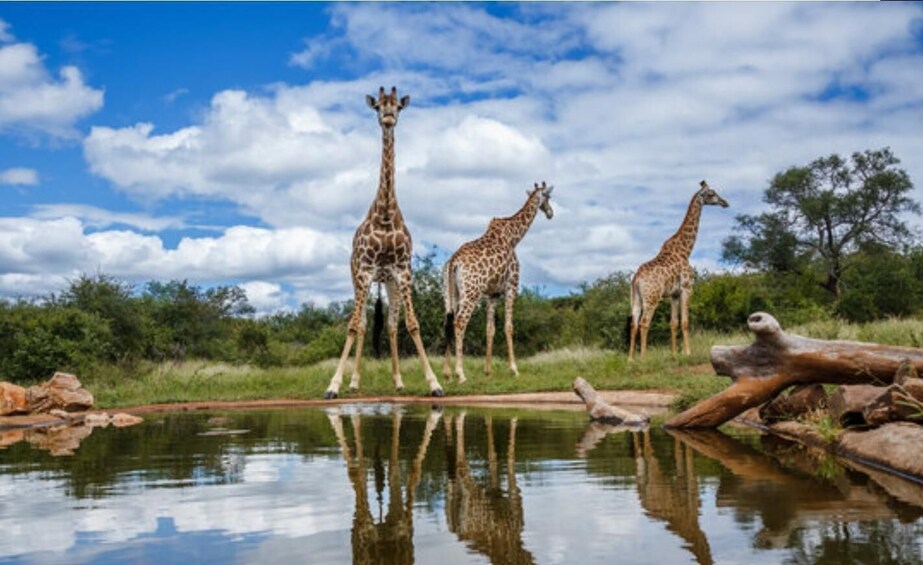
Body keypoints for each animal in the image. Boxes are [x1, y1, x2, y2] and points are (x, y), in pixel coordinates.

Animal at [325, 87, 443, 399]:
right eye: (378, 105)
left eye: (397, 107)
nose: (388, 117)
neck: (386, 215)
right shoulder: (365, 271)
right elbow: (353, 325)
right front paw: (333, 385)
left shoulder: (403, 271)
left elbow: (411, 324)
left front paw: (434, 383)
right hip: (358, 278)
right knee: (364, 324)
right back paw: (353, 382)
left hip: (387, 281)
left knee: (389, 324)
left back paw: (397, 381)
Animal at [442, 182, 554, 383]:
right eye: (548, 197)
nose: (550, 213)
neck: (514, 237)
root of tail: (453, 261)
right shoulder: (511, 286)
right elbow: (509, 327)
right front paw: (514, 369)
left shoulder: (492, 294)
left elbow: (490, 329)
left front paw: (488, 371)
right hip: (471, 294)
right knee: (459, 322)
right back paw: (460, 374)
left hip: (449, 293)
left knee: (448, 322)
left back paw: (446, 373)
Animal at [628, 180, 728, 361]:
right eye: (711, 194)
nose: (725, 203)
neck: (686, 250)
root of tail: (636, 279)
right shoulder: (687, 288)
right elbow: (685, 322)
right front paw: (688, 353)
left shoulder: (673, 294)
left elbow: (673, 323)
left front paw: (674, 355)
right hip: (652, 298)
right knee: (644, 323)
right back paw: (644, 358)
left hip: (636, 298)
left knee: (634, 323)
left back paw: (630, 359)